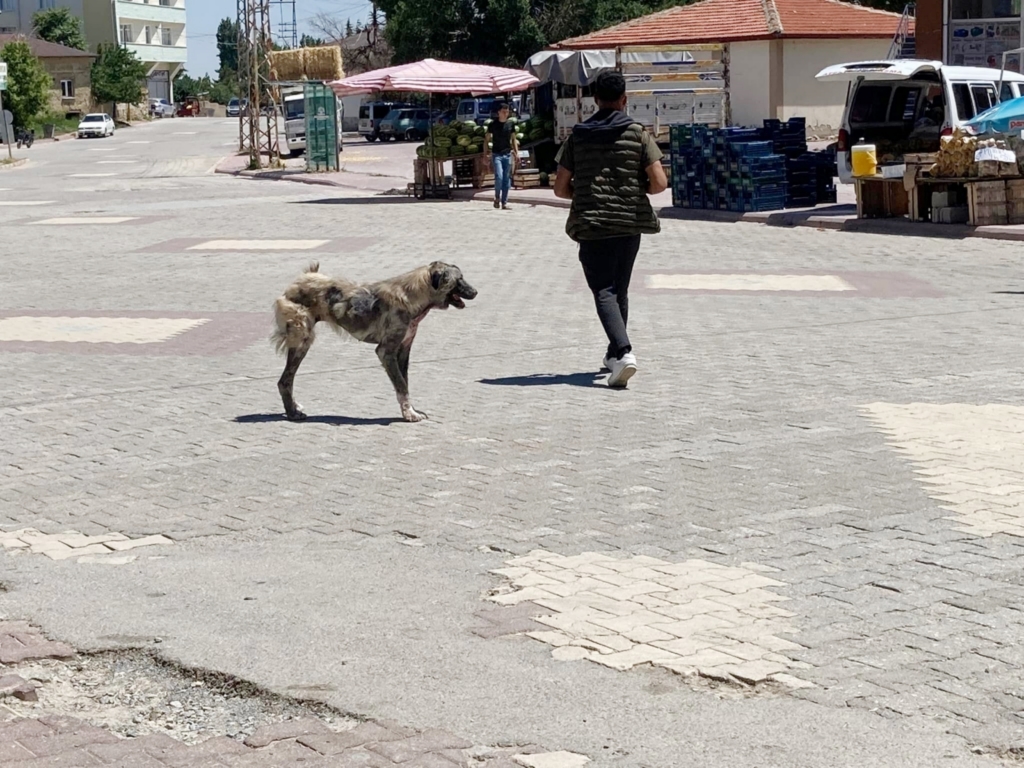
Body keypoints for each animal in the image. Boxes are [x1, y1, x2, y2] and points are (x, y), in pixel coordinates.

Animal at [272, 262, 479, 423]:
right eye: (459, 279)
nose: (476, 292)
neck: (413, 295)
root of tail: (301, 278)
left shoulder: (403, 351)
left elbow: (404, 383)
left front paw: (409, 410)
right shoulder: (386, 352)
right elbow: (401, 385)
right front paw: (409, 414)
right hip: (302, 340)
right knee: (285, 381)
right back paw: (292, 413)